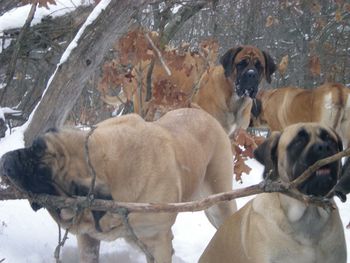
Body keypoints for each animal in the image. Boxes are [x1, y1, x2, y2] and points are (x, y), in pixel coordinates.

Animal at [1, 108, 237, 263]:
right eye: (34, 146)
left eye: (42, 176)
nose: (7, 161)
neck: (107, 165)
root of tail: (206, 115)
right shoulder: (88, 238)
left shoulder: (158, 241)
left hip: (219, 206)